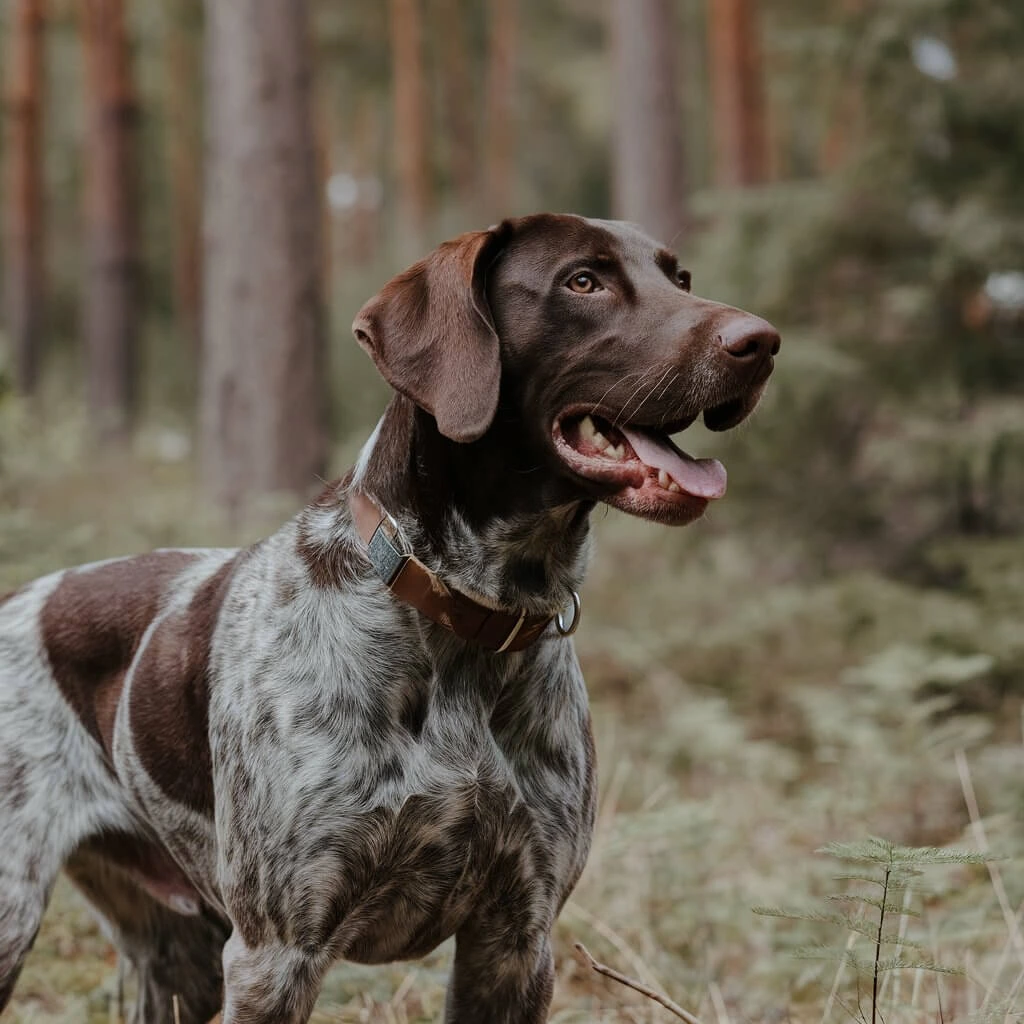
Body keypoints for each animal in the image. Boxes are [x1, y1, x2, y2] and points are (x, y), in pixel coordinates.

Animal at [2, 211, 774, 1019]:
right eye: (583, 281)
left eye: (679, 278)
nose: (762, 341)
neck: (472, 615)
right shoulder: (278, 953)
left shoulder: (516, 940)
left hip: (181, 962)